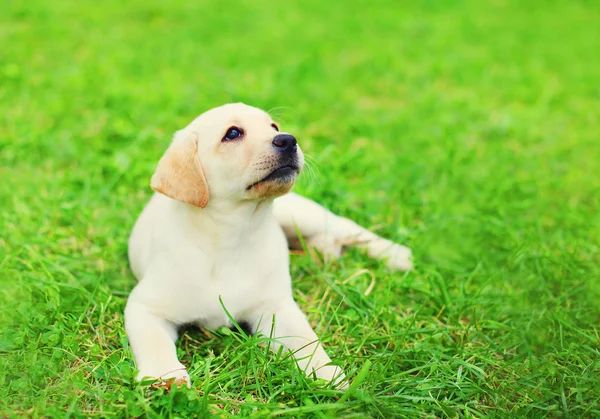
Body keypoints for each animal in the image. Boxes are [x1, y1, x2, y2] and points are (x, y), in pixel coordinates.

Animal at [123, 102, 412, 390]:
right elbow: (154, 342)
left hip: (301, 214)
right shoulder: (144, 306)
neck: (232, 233)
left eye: (274, 127)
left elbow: (305, 339)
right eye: (233, 133)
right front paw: (165, 375)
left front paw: (326, 372)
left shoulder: (275, 307)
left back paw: (396, 255)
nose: (289, 140)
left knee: (346, 227)